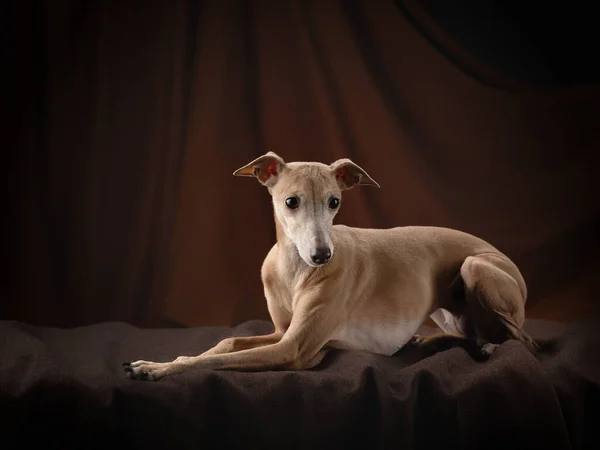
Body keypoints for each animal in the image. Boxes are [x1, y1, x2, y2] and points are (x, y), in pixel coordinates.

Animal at [124, 151, 536, 380]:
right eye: (291, 201)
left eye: (334, 201)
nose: (323, 256)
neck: (293, 269)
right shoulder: (281, 333)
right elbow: (226, 344)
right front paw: (170, 359)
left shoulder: (292, 349)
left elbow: (213, 362)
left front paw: (155, 368)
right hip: (450, 306)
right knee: (477, 333)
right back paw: (433, 340)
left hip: (475, 268)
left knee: (522, 340)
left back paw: (490, 348)